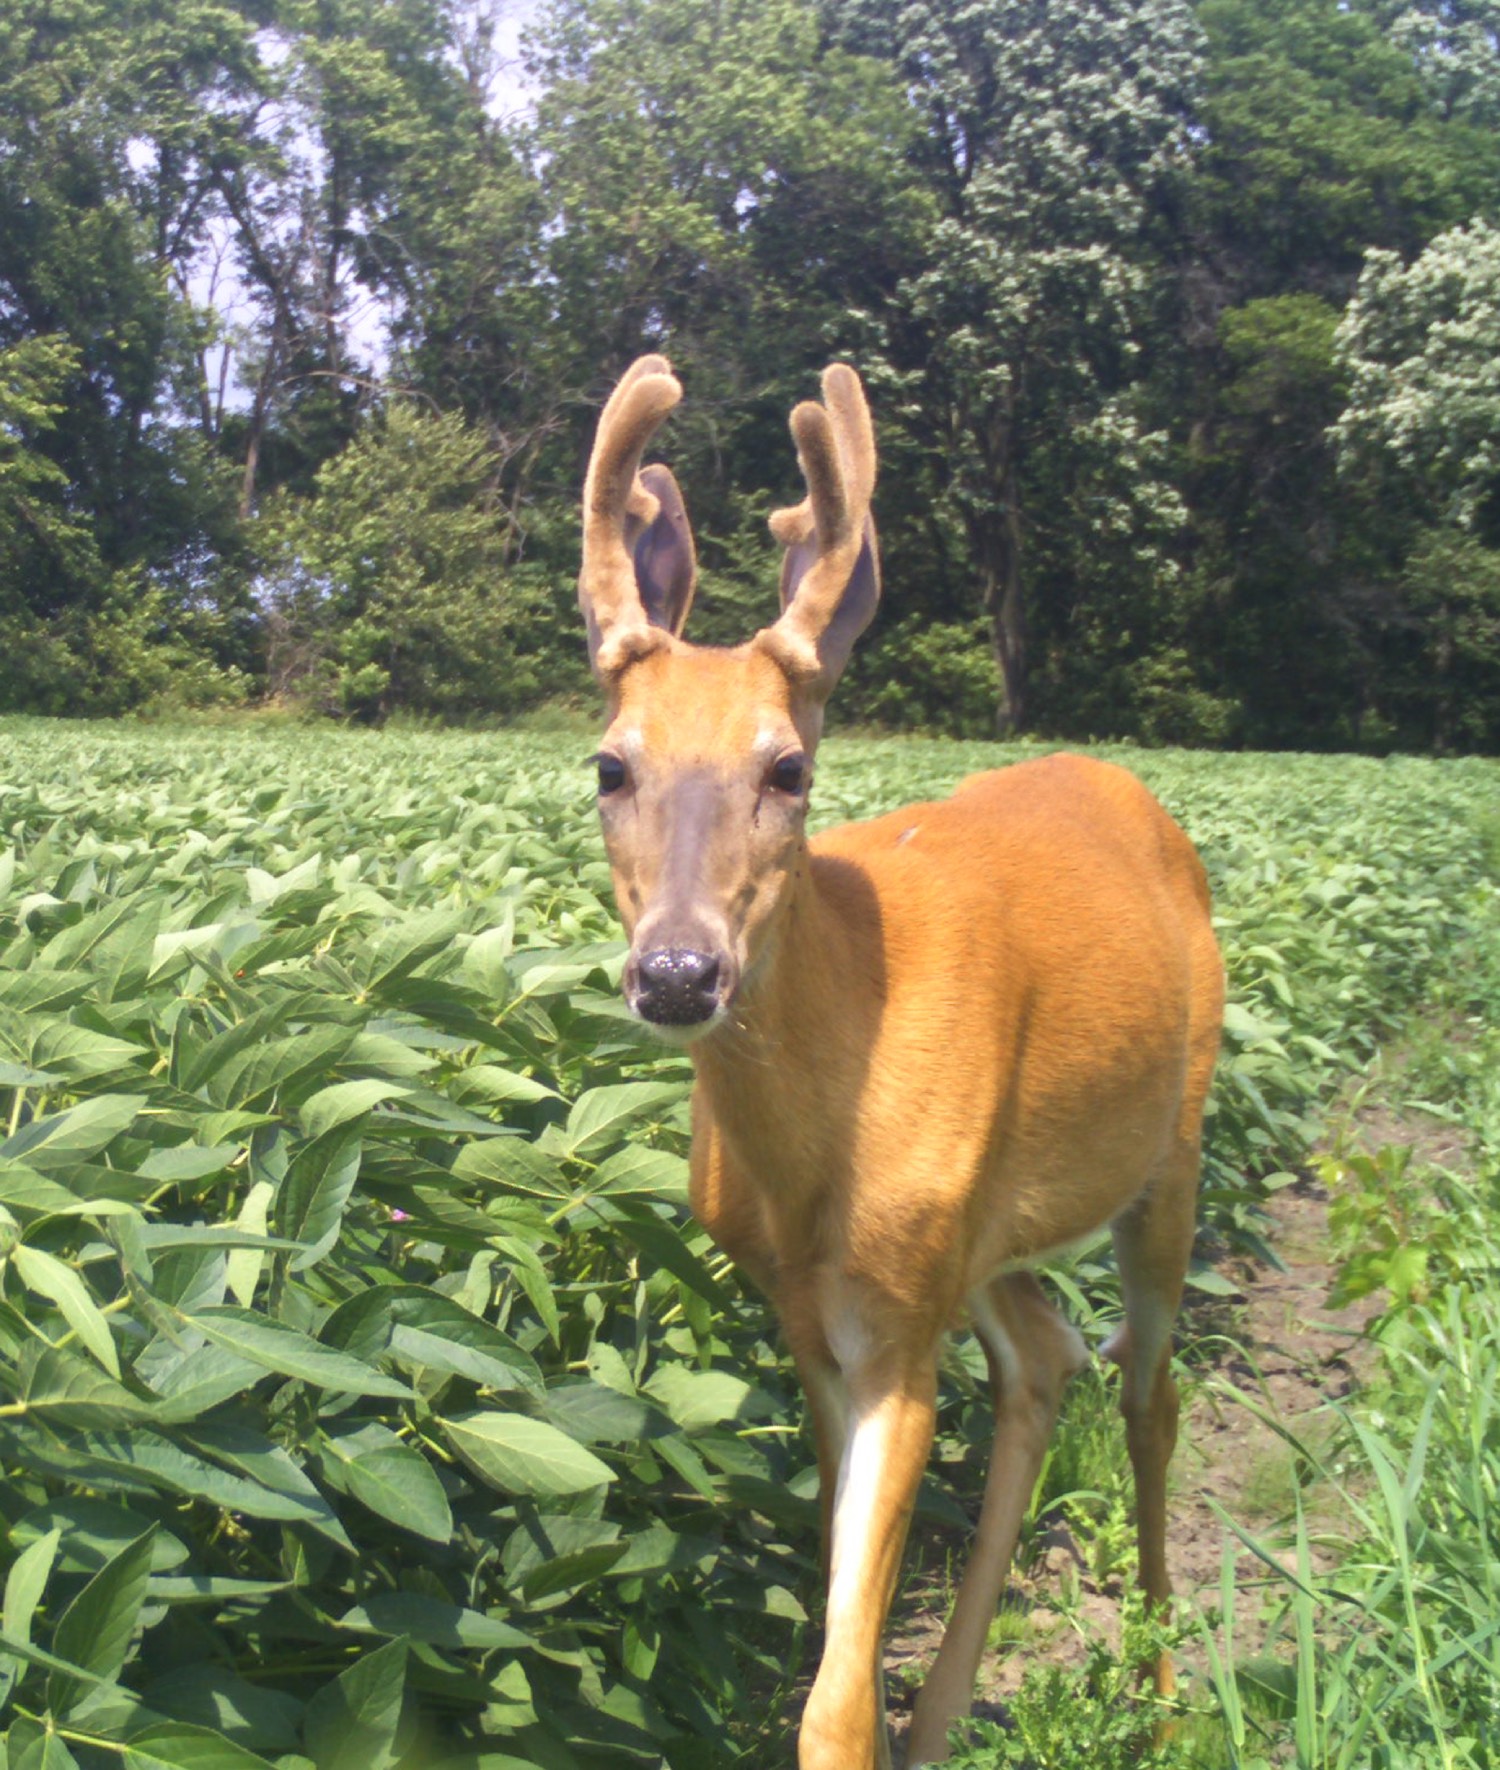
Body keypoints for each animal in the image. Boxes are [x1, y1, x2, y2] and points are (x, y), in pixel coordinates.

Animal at [573, 352, 1218, 1762]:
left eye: (788, 768)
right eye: (608, 767)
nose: (678, 973)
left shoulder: (898, 1334)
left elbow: (834, 1703)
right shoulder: (819, 1314)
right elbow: (840, 1631)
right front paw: (903, 1707)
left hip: (1174, 1152)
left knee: (1151, 1395)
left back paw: (1159, 1688)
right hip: (984, 1234)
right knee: (1046, 1359)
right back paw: (948, 1718)